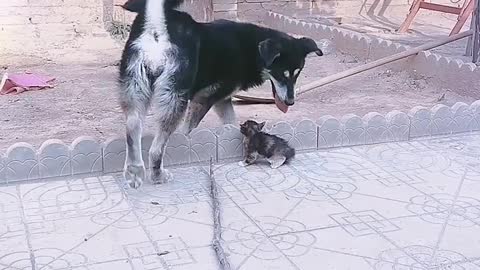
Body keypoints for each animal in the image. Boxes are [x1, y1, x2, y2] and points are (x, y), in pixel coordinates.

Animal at [118, 0, 324, 188]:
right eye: (283, 74)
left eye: (297, 74)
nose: (290, 102)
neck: (252, 50)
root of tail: (158, 25)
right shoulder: (204, 99)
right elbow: (188, 130)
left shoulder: (222, 100)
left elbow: (231, 123)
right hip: (175, 99)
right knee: (156, 149)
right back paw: (157, 175)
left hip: (135, 90)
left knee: (133, 130)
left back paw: (134, 172)